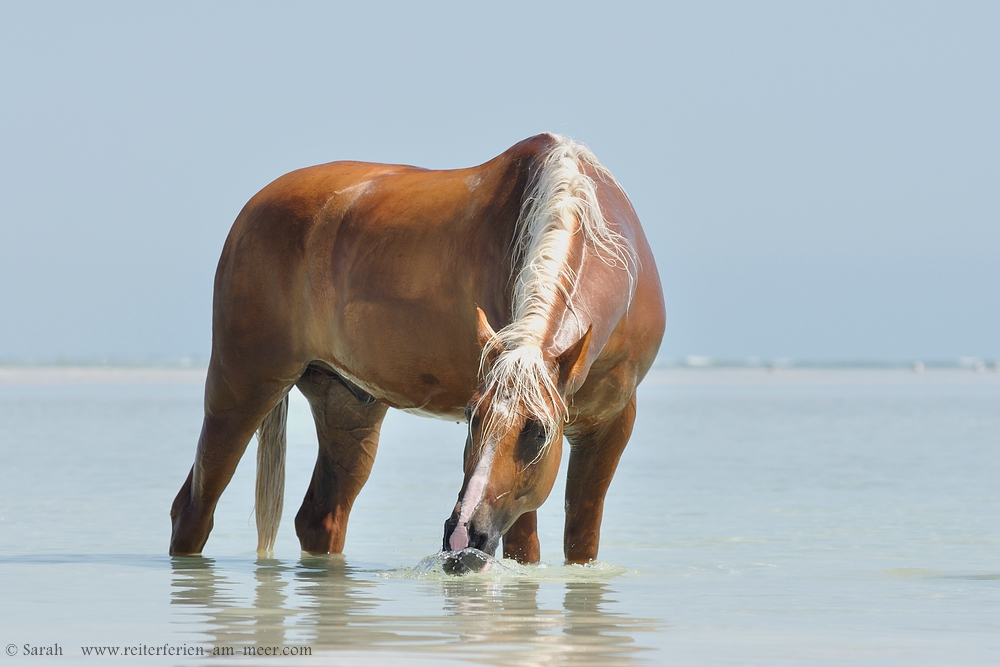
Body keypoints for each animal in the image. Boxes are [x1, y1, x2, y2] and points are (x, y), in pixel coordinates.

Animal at [171, 133, 664, 568]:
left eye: (539, 431)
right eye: (471, 415)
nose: (464, 534)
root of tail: (254, 207)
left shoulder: (613, 425)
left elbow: (582, 547)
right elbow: (526, 553)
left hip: (348, 406)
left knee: (320, 517)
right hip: (243, 386)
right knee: (192, 509)